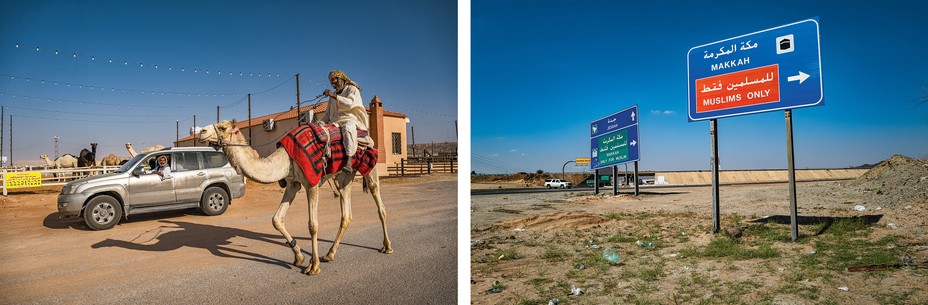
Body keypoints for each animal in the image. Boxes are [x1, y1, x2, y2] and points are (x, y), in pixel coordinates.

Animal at [199, 119, 392, 276]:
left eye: (222, 127)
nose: (201, 131)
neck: (286, 159)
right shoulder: (293, 184)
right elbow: (276, 219)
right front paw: (299, 257)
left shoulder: (311, 183)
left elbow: (313, 225)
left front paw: (313, 267)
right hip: (344, 177)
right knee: (346, 214)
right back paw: (329, 254)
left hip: (371, 166)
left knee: (379, 203)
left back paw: (387, 247)